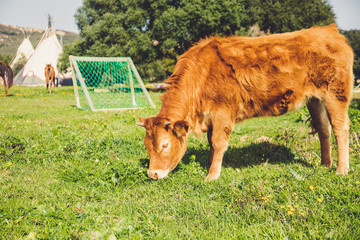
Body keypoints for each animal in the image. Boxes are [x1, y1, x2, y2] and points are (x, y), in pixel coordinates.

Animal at [137, 24, 354, 182]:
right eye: (147, 145)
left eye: (165, 145)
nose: (152, 174)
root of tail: (328, 30)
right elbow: (211, 144)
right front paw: (210, 166)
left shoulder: (223, 112)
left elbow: (218, 143)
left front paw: (212, 176)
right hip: (315, 99)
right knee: (324, 129)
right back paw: (325, 164)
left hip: (336, 94)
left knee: (340, 129)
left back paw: (341, 170)